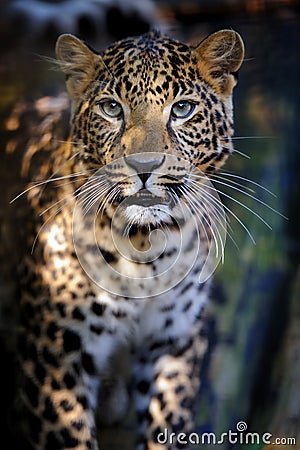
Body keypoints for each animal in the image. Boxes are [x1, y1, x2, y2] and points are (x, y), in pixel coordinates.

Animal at [14, 29, 244, 450]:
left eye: (182, 109)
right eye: (111, 108)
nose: (144, 166)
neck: (143, 249)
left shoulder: (174, 341)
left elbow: (167, 424)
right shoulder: (53, 357)